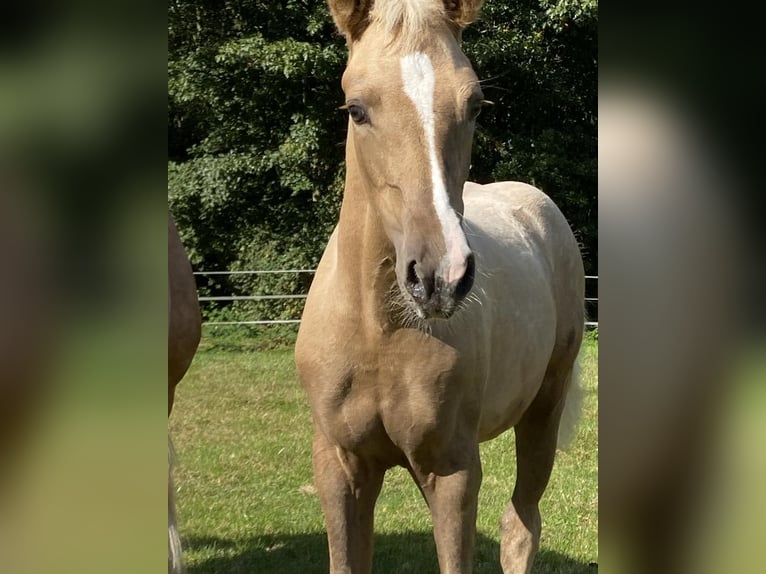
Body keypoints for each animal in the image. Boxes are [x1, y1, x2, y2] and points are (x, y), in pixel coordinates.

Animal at [296, 1, 584, 574]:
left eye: (474, 105)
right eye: (356, 109)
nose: (440, 277)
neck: (379, 332)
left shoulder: (451, 470)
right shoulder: (340, 468)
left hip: (545, 407)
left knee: (521, 527)